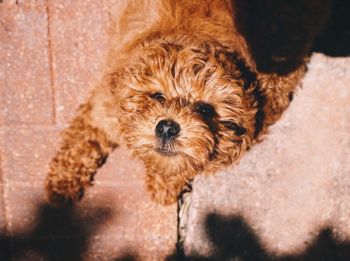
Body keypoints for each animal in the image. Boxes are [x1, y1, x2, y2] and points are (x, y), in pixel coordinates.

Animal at [45, 0, 330, 204]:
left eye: (205, 108)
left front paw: (164, 186)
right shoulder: (103, 111)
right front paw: (61, 185)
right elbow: (80, 143)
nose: (167, 127)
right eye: (158, 96)